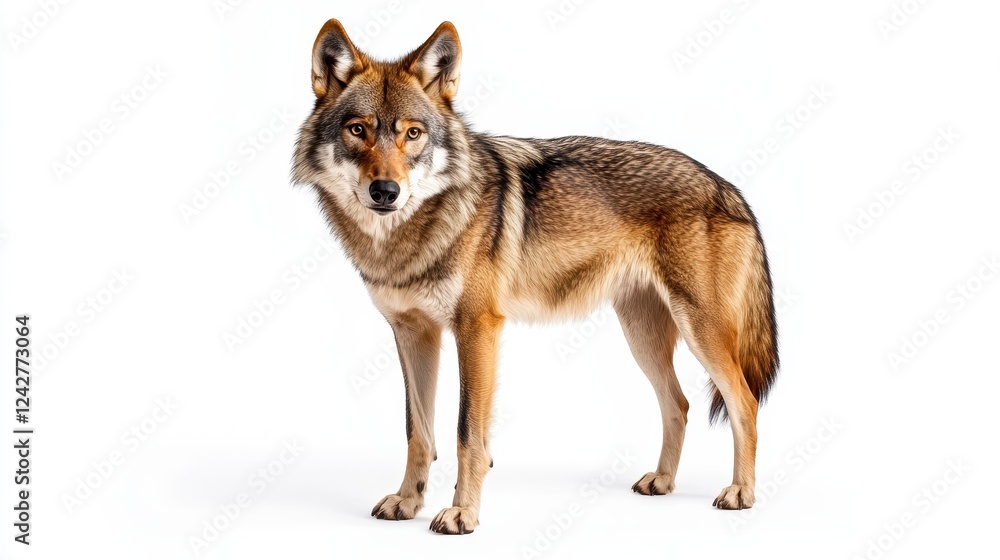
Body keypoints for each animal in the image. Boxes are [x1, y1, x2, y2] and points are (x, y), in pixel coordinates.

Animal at [292, 20, 779, 535]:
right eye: (358, 130)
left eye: (413, 133)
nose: (385, 191)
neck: (409, 237)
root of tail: (730, 188)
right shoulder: (412, 334)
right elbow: (417, 431)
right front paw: (408, 501)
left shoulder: (477, 329)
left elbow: (467, 433)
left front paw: (462, 513)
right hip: (643, 337)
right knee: (679, 405)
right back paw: (662, 482)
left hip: (700, 332)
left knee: (744, 403)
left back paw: (741, 492)